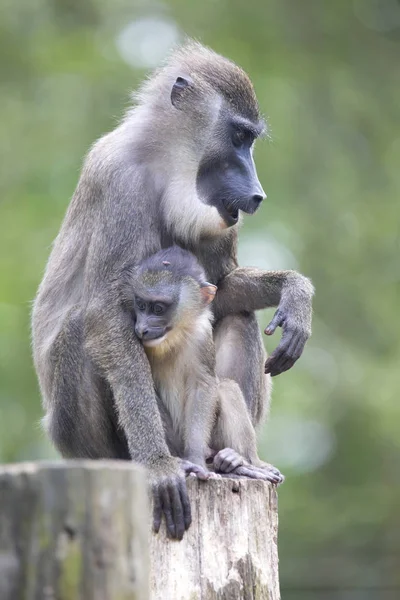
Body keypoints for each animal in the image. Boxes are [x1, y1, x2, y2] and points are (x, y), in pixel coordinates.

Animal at [120, 244, 282, 482]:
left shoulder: (201, 336)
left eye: (158, 309)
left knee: (226, 387)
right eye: (140, 305)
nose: (142, 328)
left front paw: (196, 459)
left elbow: (203, 384)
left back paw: (241, 462)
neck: (173, 337)